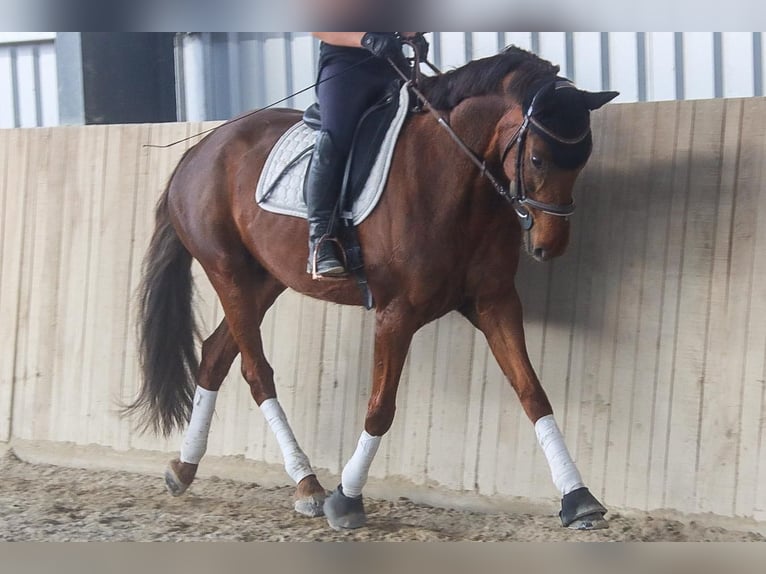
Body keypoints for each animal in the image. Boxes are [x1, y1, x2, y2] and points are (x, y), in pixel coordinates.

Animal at [127, 45, 618, 531]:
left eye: (583, 159)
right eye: (537, 158)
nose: (549, 246)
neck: (453, 180)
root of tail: (199, 150)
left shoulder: (494, 303)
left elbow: (532, 392)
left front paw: (579, 499)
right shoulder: (396, 312)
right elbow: (381, 407)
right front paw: (346, 500)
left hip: (264, 281)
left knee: (215, 357)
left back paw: (184, 469)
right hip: (227, 271)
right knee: (255, 371)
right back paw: (307, 486)